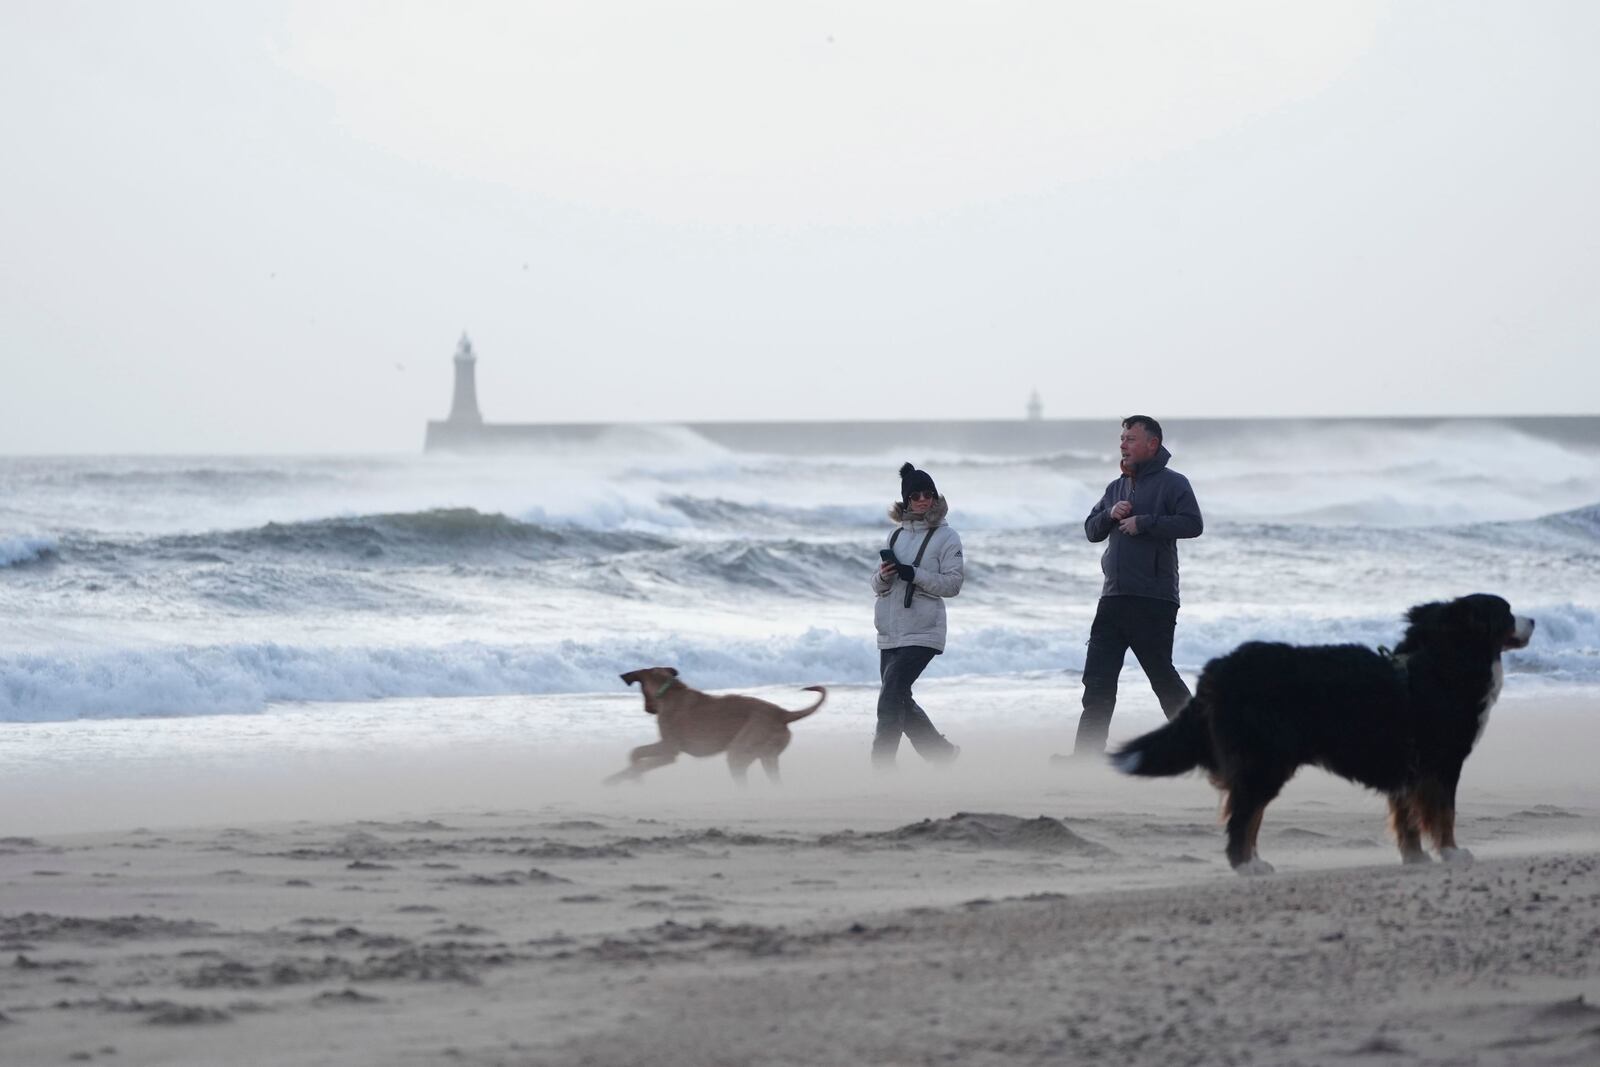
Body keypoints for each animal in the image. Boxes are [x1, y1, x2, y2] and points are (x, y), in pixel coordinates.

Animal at [608, 668, 832, 783]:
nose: (648, 709)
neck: (669, 690)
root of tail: (782, 714)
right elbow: (637, 755)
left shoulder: (669, 749)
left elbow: (637, 754)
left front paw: (626, 776)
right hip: (768, 757)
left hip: (740, 752)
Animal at [1113, 591, 1536, 876]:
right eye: (1506, 611)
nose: (1532, 620)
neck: (1445, 662)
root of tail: (1219, 667)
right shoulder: (1441, 762)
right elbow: (1444, 814)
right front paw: (1451, 853)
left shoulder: (1409, 766)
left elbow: (1408, 819)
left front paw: (1415, 857)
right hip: (1266, 760)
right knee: (1243, 815)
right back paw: (1246, 865)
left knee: (1249, 814)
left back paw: (1255, 861)